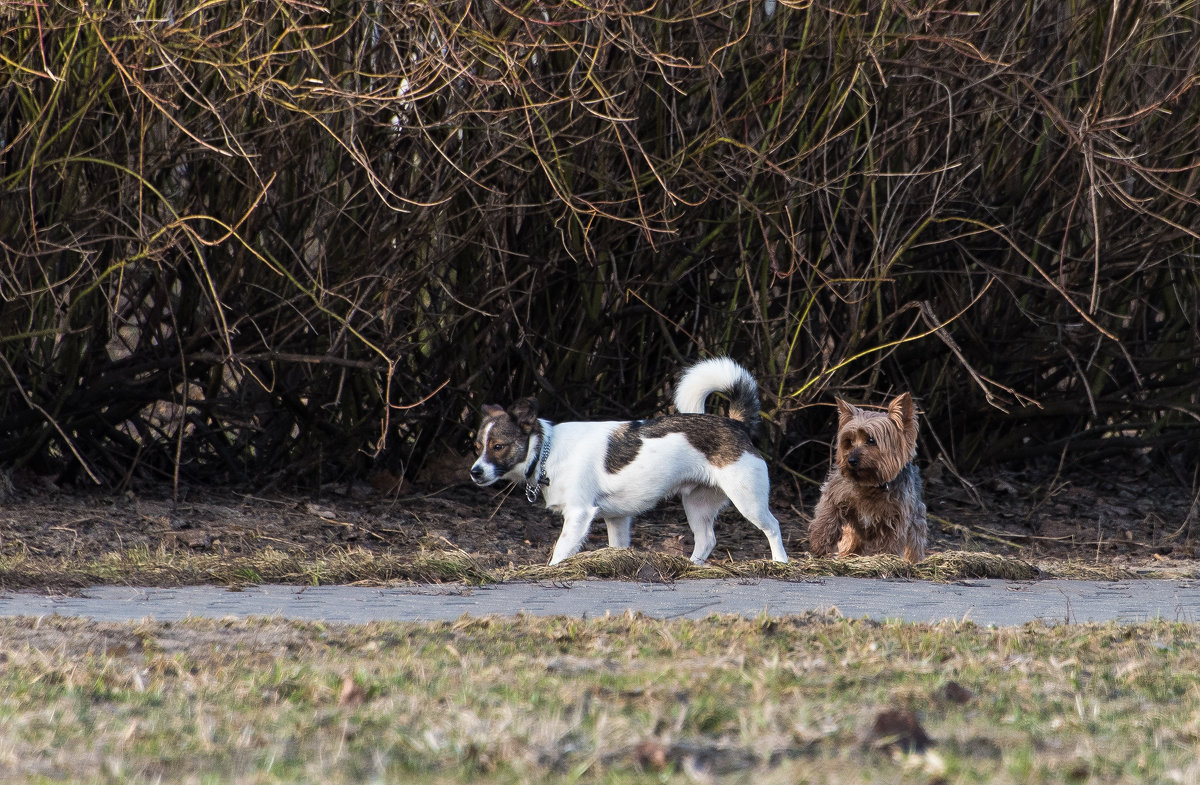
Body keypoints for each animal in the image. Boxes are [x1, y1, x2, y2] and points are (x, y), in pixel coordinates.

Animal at [468, 360, 787, 568]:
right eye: (477, 447)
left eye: (498, 447)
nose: (475, 472)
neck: (548, 450)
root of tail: (736, 424)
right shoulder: (617, 519)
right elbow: (616, 548)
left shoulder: (578, 515)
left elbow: (560, 553)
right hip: (697, 504)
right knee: (706, 539)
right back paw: (692, 566)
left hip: (748, 500)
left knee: (772, 527)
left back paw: (780, 562)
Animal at [806, 396, 926, 561]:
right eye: (849, 441)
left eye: (871, 440)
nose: (851, 460)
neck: (870, 484)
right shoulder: (836, 493)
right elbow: (828, 513)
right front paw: (819, 543)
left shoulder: (895, 518)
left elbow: (890, 542)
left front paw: (883, 558)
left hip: (916, 523)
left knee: (914, 546)